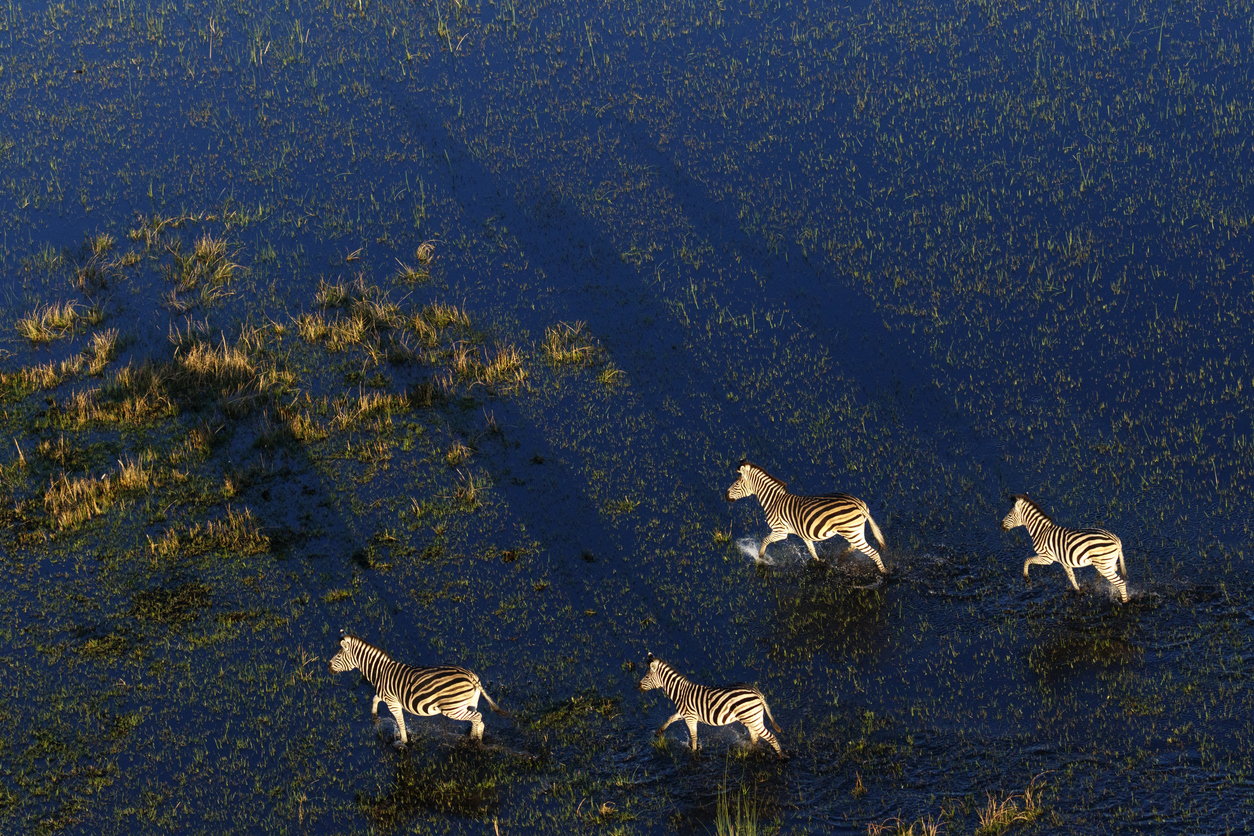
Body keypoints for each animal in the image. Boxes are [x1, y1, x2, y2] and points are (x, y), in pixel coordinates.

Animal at [328, 632, 507, 746]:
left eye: (338, 656)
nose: (328, 667)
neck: (381, 672)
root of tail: (470, 676)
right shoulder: (386, 695)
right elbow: (374, 699)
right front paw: (374, 716)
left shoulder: (393, 703)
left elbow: (400, 723)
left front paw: (403, 742)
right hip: (469, 703)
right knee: (479, 720)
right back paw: (475, 737)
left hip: (452, 709)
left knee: (477, 717)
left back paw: (474, 740)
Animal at [638, 653, 784, 757]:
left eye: (646, 677)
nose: (638, 687)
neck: (681, 692)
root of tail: (757, 692)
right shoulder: (683, 714)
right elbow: (670, 718)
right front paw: (658, 733)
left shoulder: (690, 717)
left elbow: (694, 736)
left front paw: (694, 752)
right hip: (752, 718)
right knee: (755, 736)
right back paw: (753, 750)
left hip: (752, 718)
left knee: (771, 737)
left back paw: (781, 757)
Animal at [725, 459, 888, 573]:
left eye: (737, 484)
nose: (726, 496)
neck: (774, 501)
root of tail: (858, 503)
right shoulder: (804, 534)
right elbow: (812, 550)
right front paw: (820, 563)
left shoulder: (780, 531)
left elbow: (764, 541)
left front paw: (761, 559)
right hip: (855, 530)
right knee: (855, 546)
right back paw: (840, 558)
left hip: (851, 531)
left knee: (873, 553)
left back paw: (884, 575)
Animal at [1001, 495, 1129, 603]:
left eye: (1009, 515)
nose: (1001, 526)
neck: (1041, 532)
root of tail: (1115, 540)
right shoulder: (1064, 560)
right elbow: (1071, 577)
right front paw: (1079, 591)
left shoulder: (1047, 558)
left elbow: (1027, 560)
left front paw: (1027, 578)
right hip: (1107, 562)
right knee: (1115, 570)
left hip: (1104, 564)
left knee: (1121, 583)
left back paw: (1124, 602)